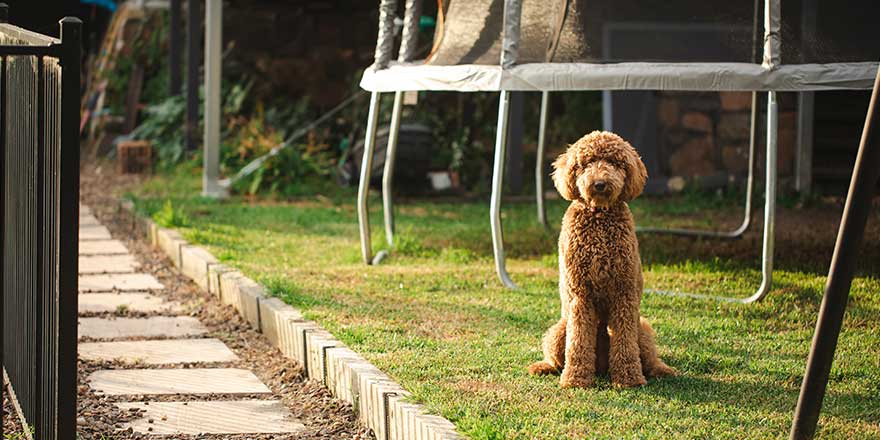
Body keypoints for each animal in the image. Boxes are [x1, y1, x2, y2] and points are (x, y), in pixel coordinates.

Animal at [524, 131, 676, 388]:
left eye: (615, 163)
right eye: (586, 164)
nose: (599, 184)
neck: (600, 217)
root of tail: (602, 367)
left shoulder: (624, 293)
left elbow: (624, 341)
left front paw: (629, 379)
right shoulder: (581, 296)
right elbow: (578, 341)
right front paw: (576, 379)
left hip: (642, 328)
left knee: (649, 357)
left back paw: (661, 369)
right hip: (559, 331)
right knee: (556, 357)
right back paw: (543, 367)